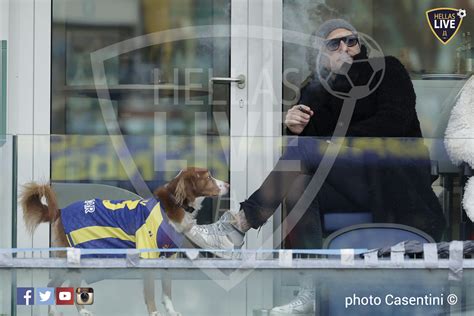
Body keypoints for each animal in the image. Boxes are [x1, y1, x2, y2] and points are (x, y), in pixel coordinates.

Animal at [19, 167, 230, 314]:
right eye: (208, 176)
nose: (228, 185)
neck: (174, 205)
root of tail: (60, 212)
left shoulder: (168, 258)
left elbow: (167, 291)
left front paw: (171, 311)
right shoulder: (148, 257)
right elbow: (150, 293)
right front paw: (154, 313)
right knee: (56, 284)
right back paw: (76, 311)